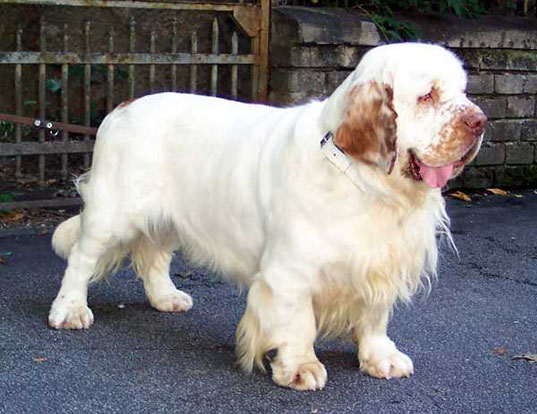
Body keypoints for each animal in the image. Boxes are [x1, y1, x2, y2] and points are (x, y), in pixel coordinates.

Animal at [49, 42, 486, 392]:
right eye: (427, 96)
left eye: (463, 92)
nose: (480, 121)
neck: (365, 181)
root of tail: (122, 108)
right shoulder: (290, 272)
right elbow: (297, 322)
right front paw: (301, 367)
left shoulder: (380, 261)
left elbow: (375, 316)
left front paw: (381, 357)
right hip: (113, 213)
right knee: (81, 259)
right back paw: (69, 310)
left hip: (169, 217)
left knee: (154, 256)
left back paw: (165, 297)